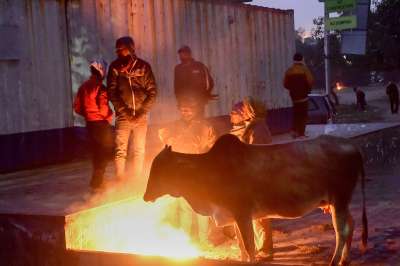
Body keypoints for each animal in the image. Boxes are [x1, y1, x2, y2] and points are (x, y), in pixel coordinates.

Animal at [145, 135, 368, 266]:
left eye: (159, 169)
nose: (145, 196)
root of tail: (353, 146)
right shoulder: (234, 216)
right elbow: (242, 246)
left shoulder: (242, 213)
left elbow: (249, 244)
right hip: (338, 202)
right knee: (351, 224)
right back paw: (345, 260)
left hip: (339, 199)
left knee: (341, 231)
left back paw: (335, 261)